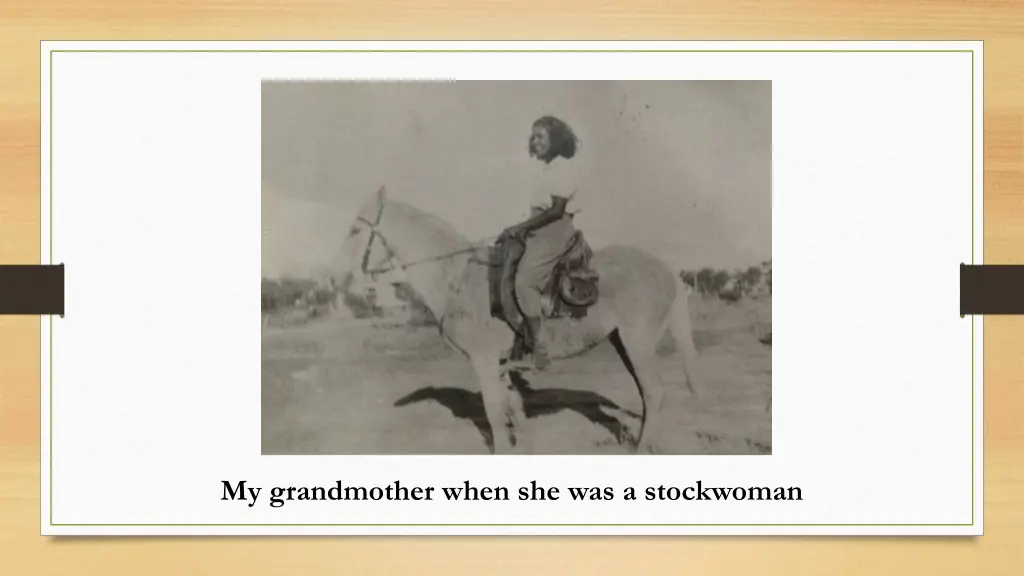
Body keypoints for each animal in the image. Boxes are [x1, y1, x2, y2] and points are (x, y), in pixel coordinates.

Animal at [331, 186, 700, 450]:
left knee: (654, 393)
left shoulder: (483, 359)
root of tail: (666, 268)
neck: (456, 277)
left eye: (354, 231)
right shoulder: (500, 361)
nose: (336, 276)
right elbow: (512, 409)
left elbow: (495, 412)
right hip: (622, 341)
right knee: (646, 394)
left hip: (638, 342)